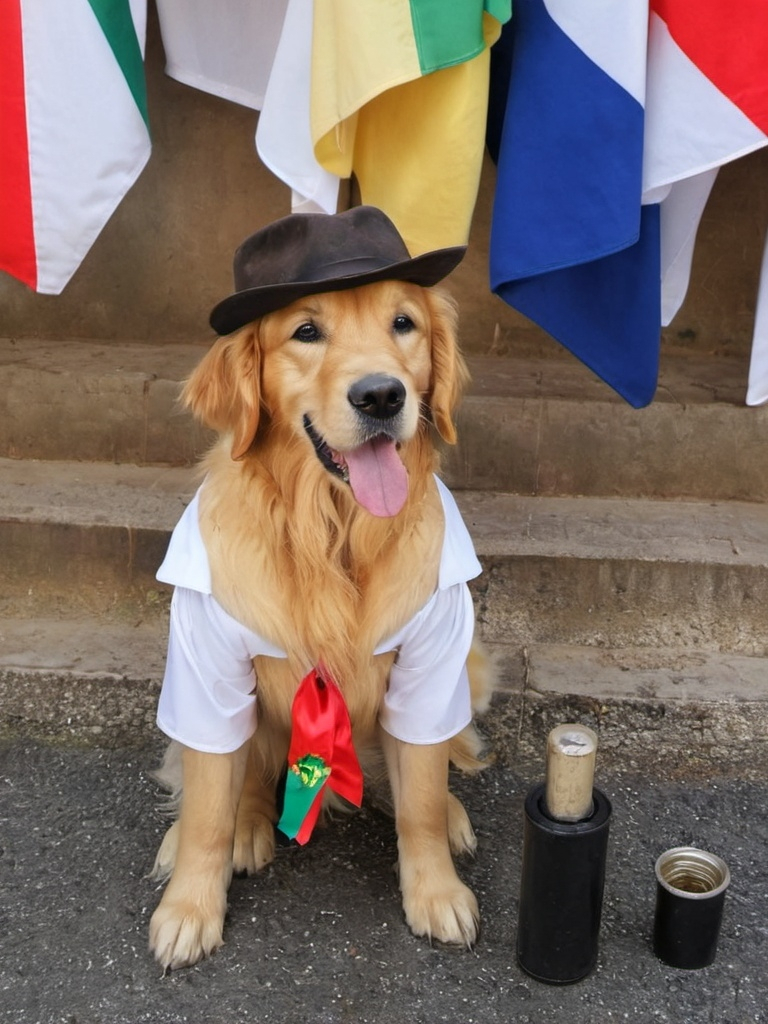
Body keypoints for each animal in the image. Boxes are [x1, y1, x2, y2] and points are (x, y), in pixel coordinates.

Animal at [148, 207, 493, 966]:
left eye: (403, 323)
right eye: (307, 332)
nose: (382, 395)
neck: (331, 531)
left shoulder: (432, 660)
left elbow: (422, 797)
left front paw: (435, 890)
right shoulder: (207, 666)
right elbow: (209, 804)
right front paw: (189, 906)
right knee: (237, 777)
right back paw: (240, 828)